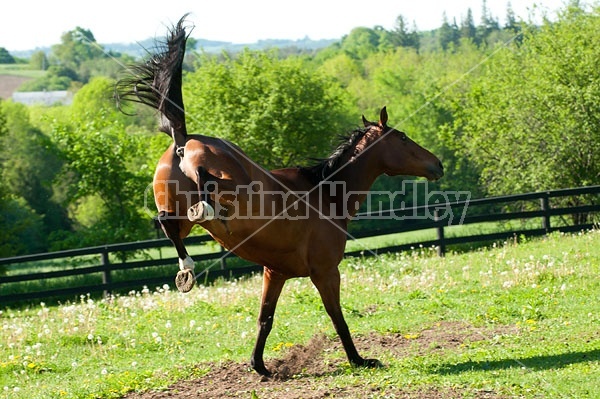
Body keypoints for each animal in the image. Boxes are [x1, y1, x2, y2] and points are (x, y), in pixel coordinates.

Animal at [115, 15, 442, 378]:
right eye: (403, 137)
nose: (437, 165)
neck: (326, 192)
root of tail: (184, 142)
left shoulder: (275, 272)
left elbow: (265, 319)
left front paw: (259, 366)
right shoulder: (325, 271)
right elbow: (337, 317)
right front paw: (359, 360)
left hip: (179, 214)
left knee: (169, 223)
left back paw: (186, 270)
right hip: (234, 186)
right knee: (209, 186)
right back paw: (206, 214)